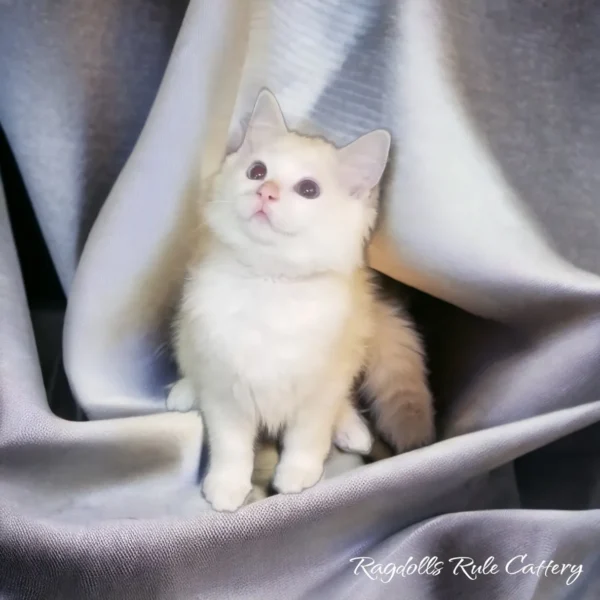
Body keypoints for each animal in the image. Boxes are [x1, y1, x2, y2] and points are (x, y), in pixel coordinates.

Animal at [171, 89, 434, 510]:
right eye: (257, 171)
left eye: (308, 190)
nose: (266, 191)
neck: (271, 283)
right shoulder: (225, 385)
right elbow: (231, 444)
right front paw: (227, 485)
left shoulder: (319, 386)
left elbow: (308, 436)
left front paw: (298, 475)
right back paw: (184, 391)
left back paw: (352, 429)